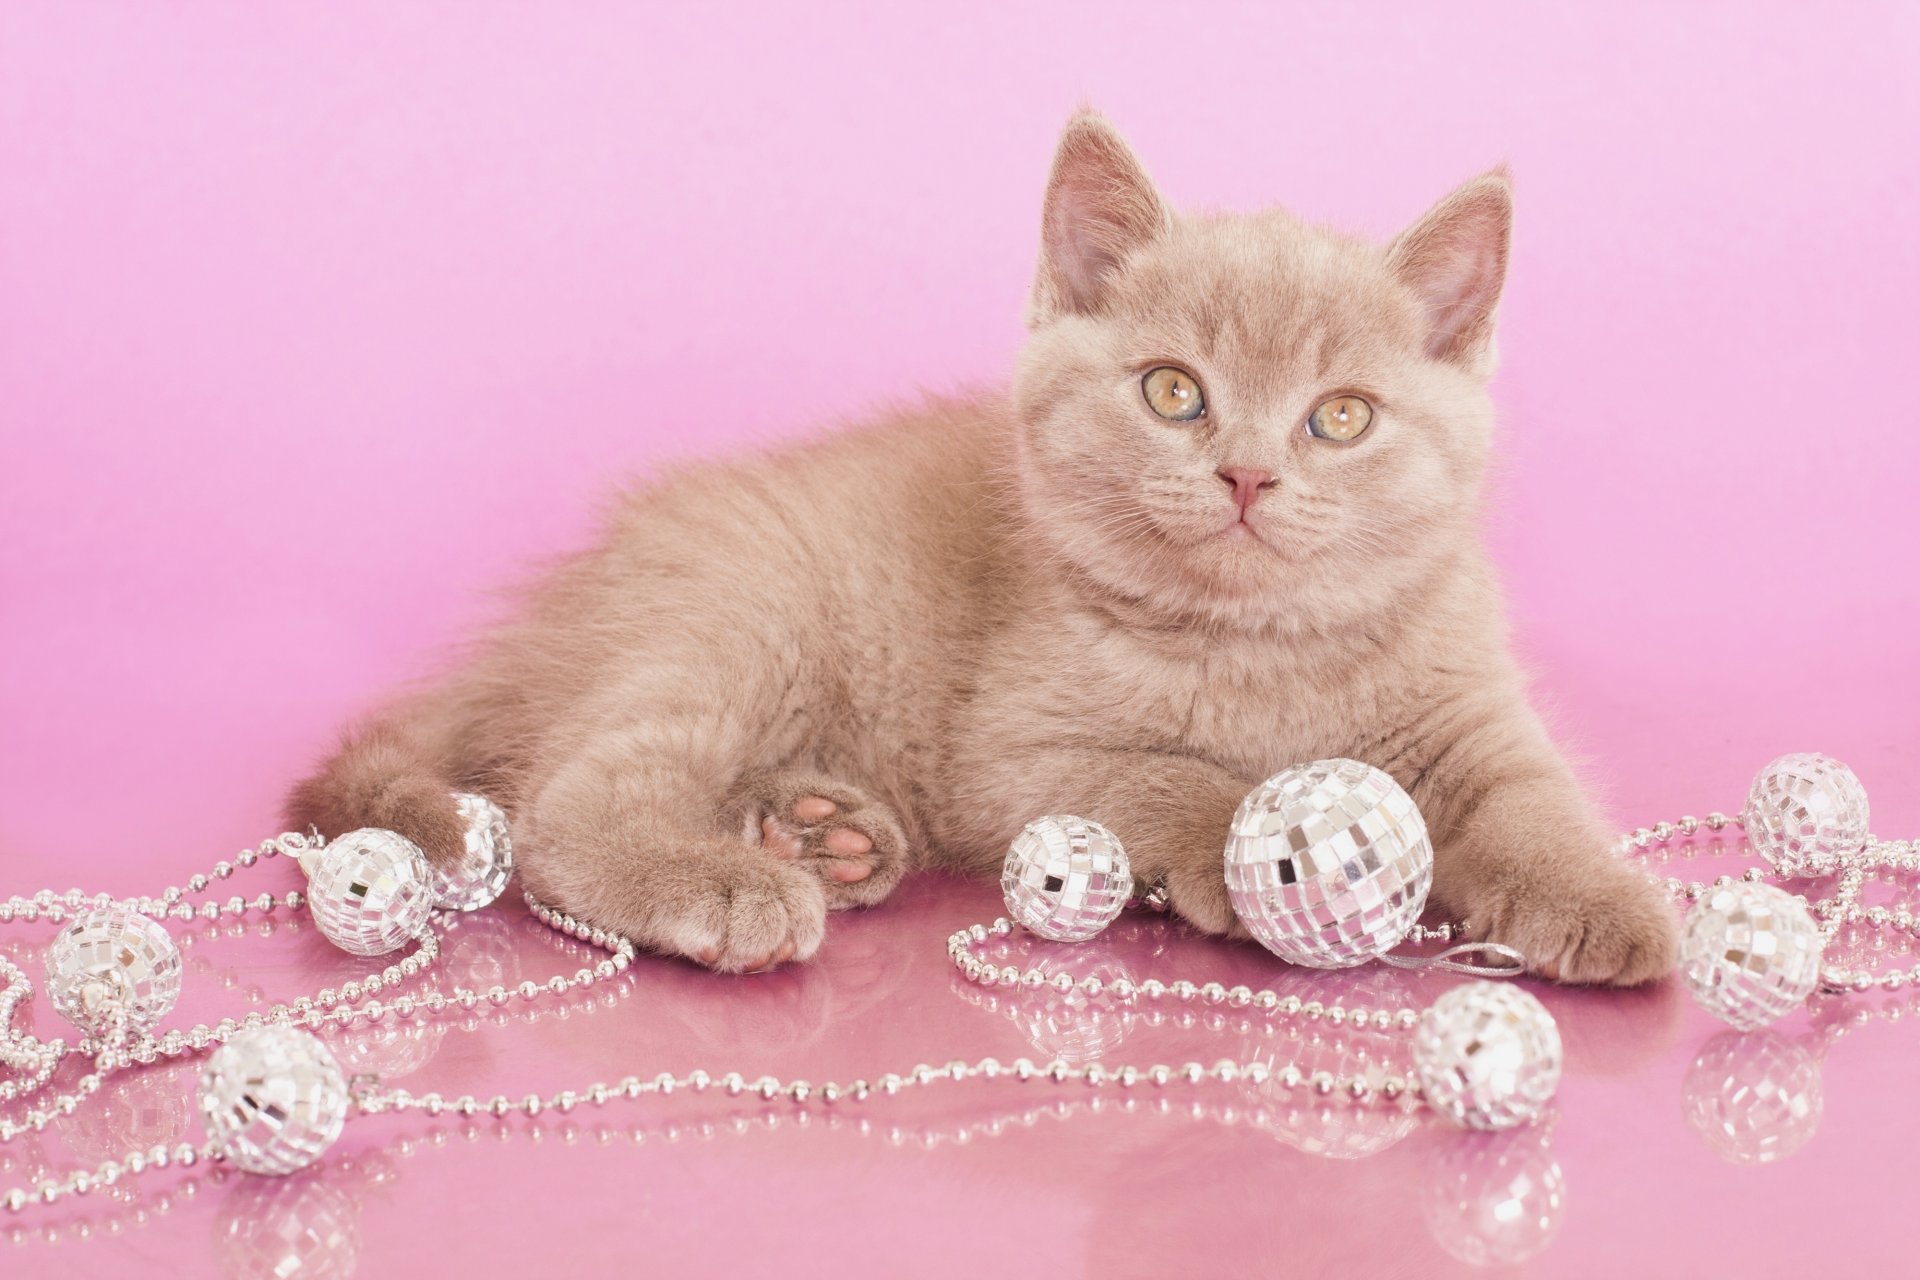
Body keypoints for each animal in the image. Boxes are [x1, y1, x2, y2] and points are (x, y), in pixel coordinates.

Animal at [288, 115, 1681, 990]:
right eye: (1174, 392)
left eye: (1341, 416)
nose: (1245, 473)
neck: (1259, 651)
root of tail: (546, 620)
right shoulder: (1018, 751)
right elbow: (1170, 775)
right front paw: (1235, 848)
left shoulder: (1474, 714)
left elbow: (1536, 800)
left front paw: (1606, 902)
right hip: (739, 615)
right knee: (566, 801)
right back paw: (732, 879)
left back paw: (830, 834)